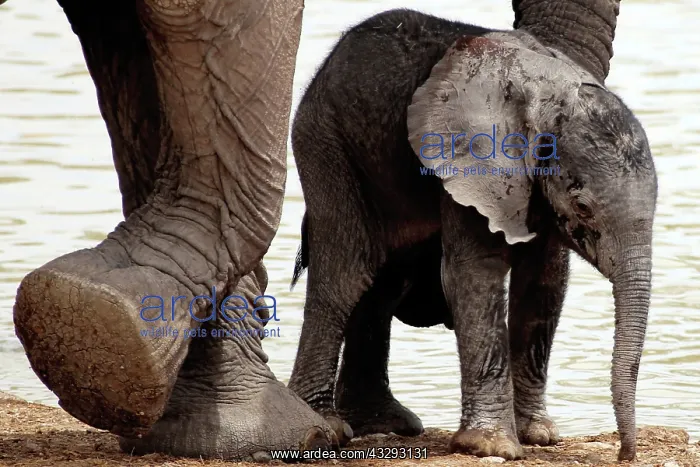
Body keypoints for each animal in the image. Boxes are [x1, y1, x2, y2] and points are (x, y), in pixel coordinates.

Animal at [287, 5, 656, 463]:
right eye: (583, 206)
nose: (626, 454)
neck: (552, 94)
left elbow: (544, 279)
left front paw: (537, 435)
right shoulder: (471, 162)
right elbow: (475, 273)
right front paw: (491, 446)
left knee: (385, 280)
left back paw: (385, 424)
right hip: (325, 140)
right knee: (347, 272)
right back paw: (327, 427)